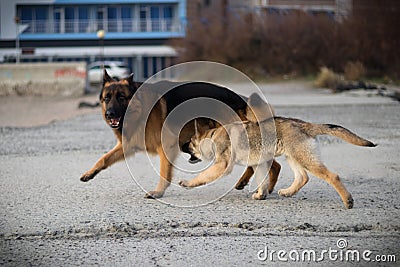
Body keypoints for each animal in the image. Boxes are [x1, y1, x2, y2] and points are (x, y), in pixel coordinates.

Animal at [80, 70, 282, 200]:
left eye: (121, 97)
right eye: (107, 98)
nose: (110, 114)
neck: (140, 106)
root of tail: (243, 100)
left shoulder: (165, 146)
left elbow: (164, 172)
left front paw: (158, 192)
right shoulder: (127, 145)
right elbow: (104, 159)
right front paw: (89, 173)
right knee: (273, 164)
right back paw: (262, 186)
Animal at [180, 94, 376, 209]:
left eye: (190, 143)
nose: (182, 146)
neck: (212, 136)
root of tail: (304, 124)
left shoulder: (222, 165)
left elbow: (202, 176)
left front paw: (188, 183)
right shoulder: (259, 163)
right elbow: (262, 181)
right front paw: (261, 195)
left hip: (305, 159)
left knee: (332, 176)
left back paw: (347, 200)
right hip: (293, 158)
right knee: (302, 178)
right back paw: (288, 192)